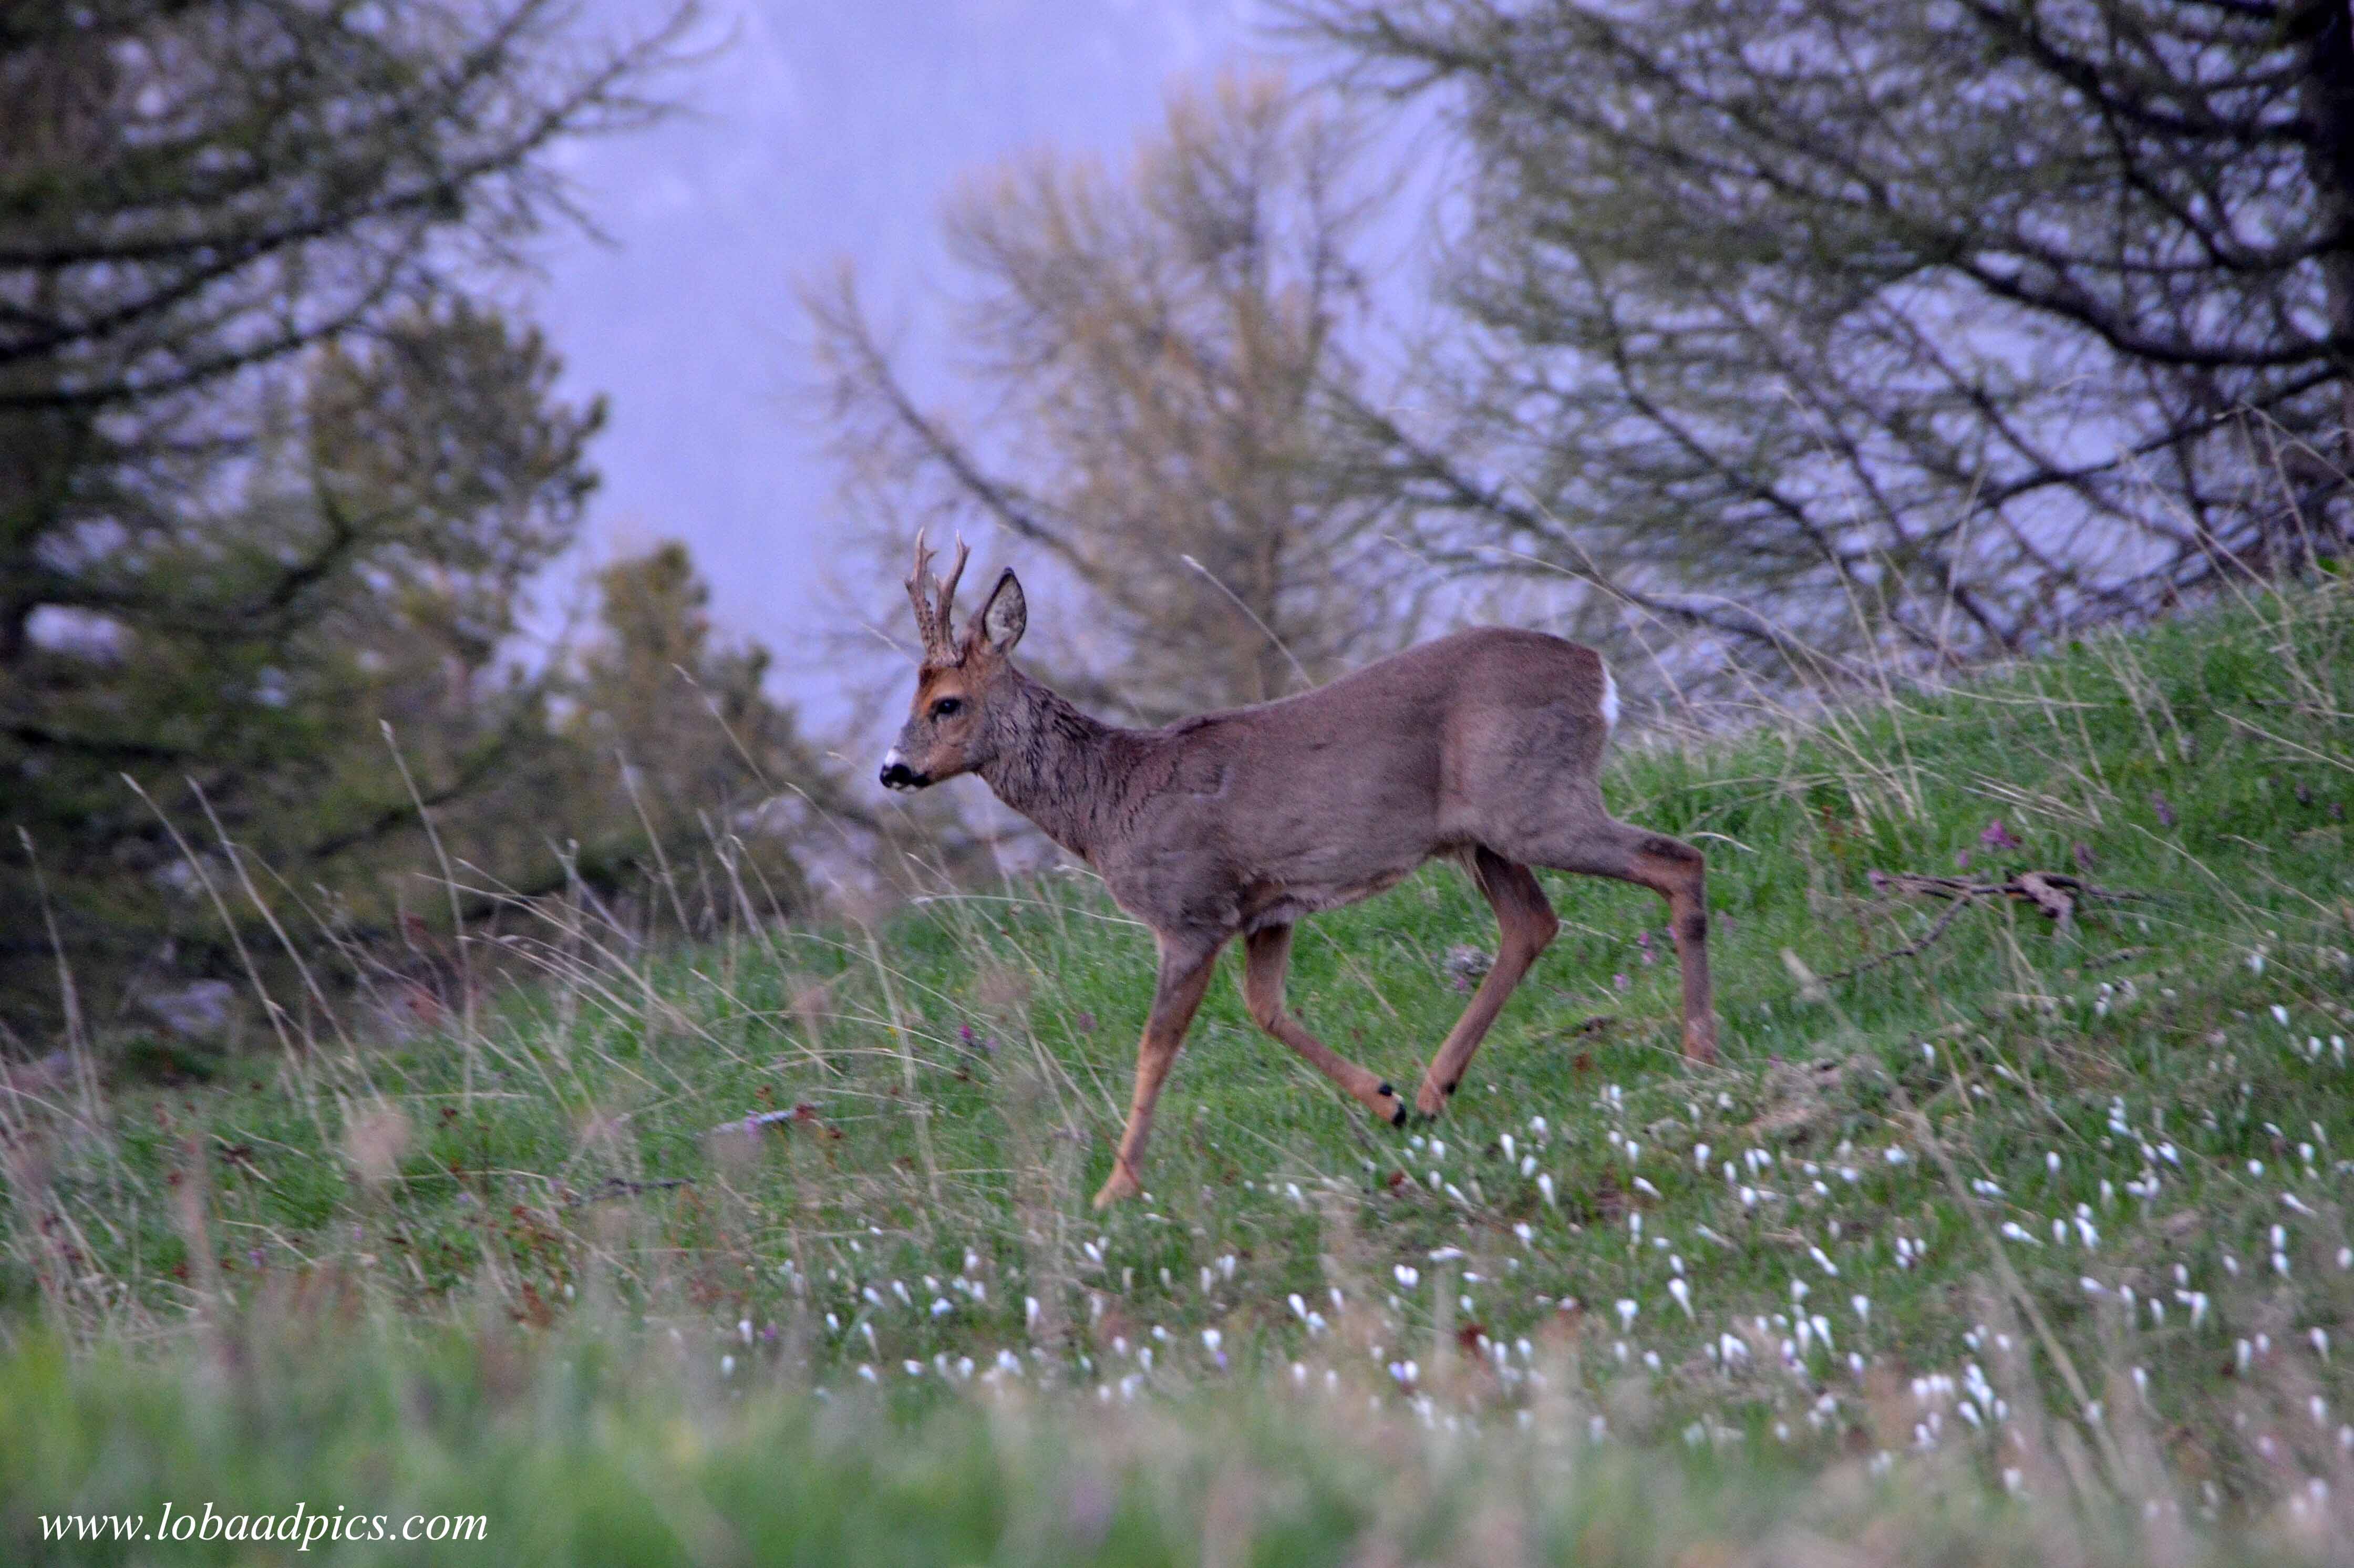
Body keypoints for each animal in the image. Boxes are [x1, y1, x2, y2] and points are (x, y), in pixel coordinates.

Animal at [875, 532, 1723, 1201]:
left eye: (946, 702)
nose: (891, 769)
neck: (1109, 804)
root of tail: (1598, 671)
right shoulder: (1266, 908)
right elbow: (1268, 1010)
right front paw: (1385, 1100)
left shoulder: (1189, 909)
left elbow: (1155, 1048)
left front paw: (1116, 1188)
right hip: (1486, 834)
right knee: (1532, 924)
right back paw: (1433, 1090)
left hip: (1533, 800)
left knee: (1678, 860)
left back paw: (1698, 1053)